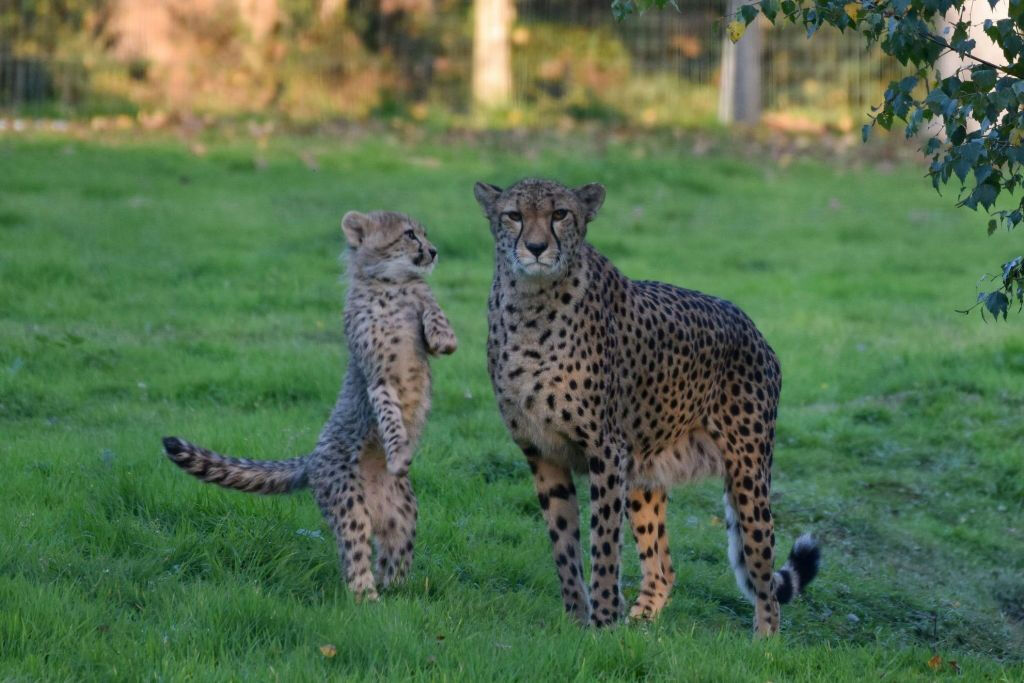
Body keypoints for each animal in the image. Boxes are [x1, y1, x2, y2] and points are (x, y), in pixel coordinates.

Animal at [475, 178, 819, 634]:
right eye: (513, 215)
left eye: (560, 214)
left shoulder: (605, 451)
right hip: (645, 471)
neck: (531, 305)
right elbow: (564, 546)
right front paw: (575, 621)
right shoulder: (542, 453)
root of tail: (751, 324)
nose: (534, 247)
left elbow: (603, 544)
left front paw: (602, 624)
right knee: (664, 569)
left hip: (748, 472)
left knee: (763, 576)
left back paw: (764, 641)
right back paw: (641, 623)